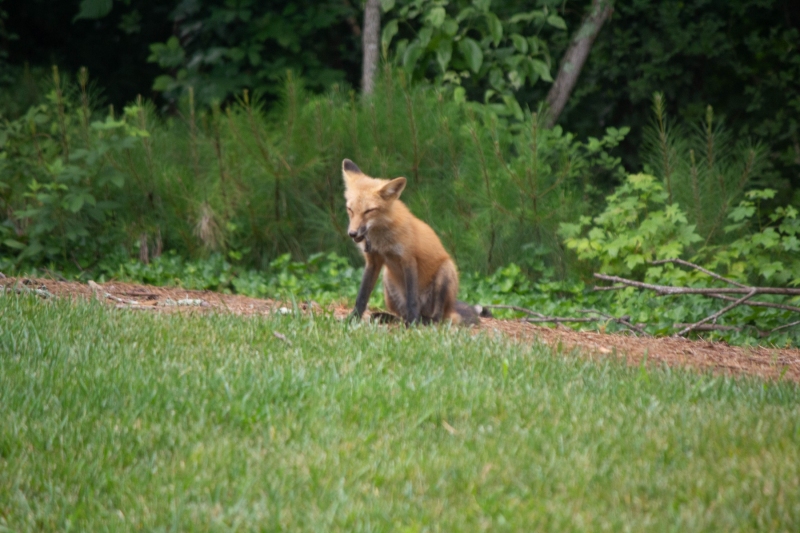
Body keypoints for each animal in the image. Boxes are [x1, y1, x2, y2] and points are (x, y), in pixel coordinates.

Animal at [342, 159, 480, 326]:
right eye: (350, 209)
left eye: (369, 211)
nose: (352, 233)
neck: (380, 239)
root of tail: (450, 309)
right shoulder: (373, 261)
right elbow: (362, 296)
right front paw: (353, 318)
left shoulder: (408, 259)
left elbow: (412, 299)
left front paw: (412, 324)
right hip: (387, 280)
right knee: (401, 314)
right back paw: (391, 318)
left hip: (446, 272)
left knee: (436, 317)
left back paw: (422, 321)